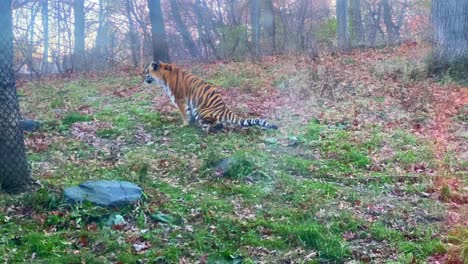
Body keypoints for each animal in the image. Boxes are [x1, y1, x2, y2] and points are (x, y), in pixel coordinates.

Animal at [144, 60, 278, 133]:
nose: (144, 79)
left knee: (210, 125)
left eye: (147, 72)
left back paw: (204, 128)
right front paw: (189, 123)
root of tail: (224, 108)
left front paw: (185, 125)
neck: (162, 77)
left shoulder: (179, 100)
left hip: (200, 110)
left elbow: (184, 113)